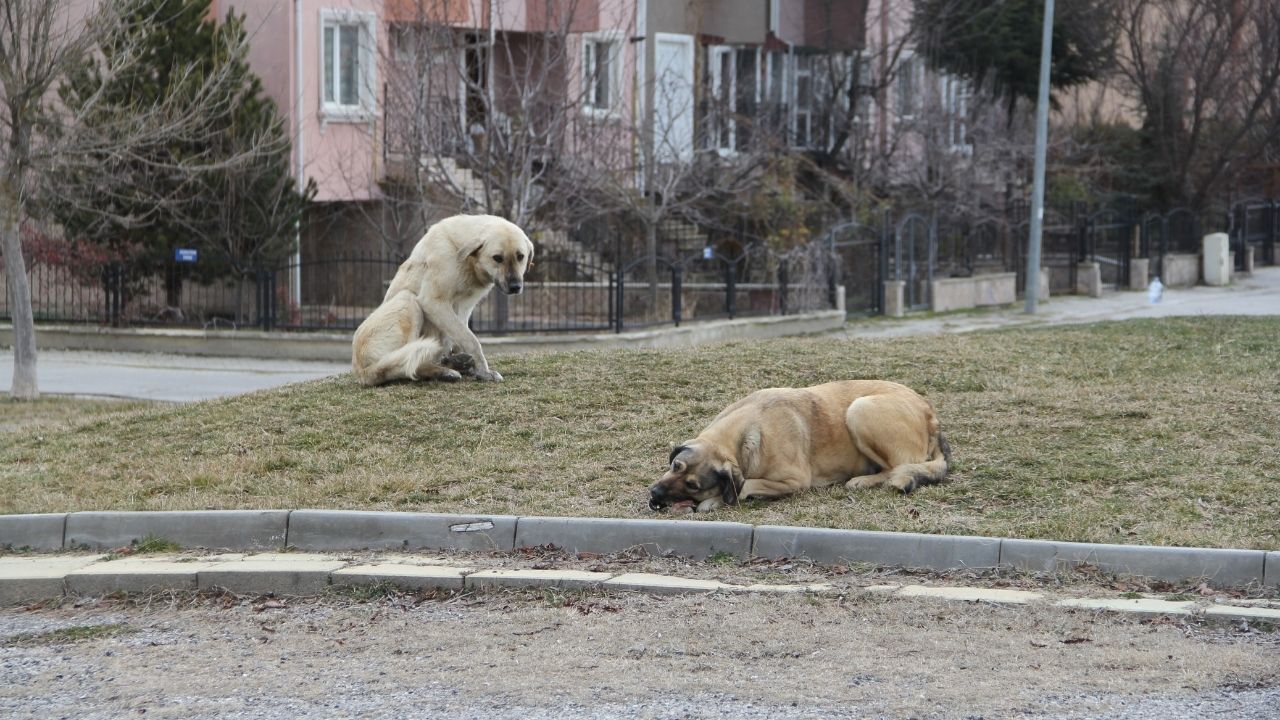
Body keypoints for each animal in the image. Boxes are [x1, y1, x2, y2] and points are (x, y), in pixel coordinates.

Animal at [350, 212, 529, 384]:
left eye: (520, 256)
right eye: (497, 258)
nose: (515, 287)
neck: (460, 252)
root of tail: (361, 371)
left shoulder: (464, 309)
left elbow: (461, 337)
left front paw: (471, 367)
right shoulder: (433, 302)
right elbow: (471, 340)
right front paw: (484, 372)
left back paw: (454, 364)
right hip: (409, 302)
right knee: (410, 362)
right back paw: (445, 371)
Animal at [650, 376, 952, 509]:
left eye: (693, 485)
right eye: (675, 466)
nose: (654, 493)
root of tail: (931, 415)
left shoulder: (795, 480)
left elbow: (745, 484)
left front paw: (715, 500)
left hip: (860, 409)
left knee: (898, 467)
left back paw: (864, 480)